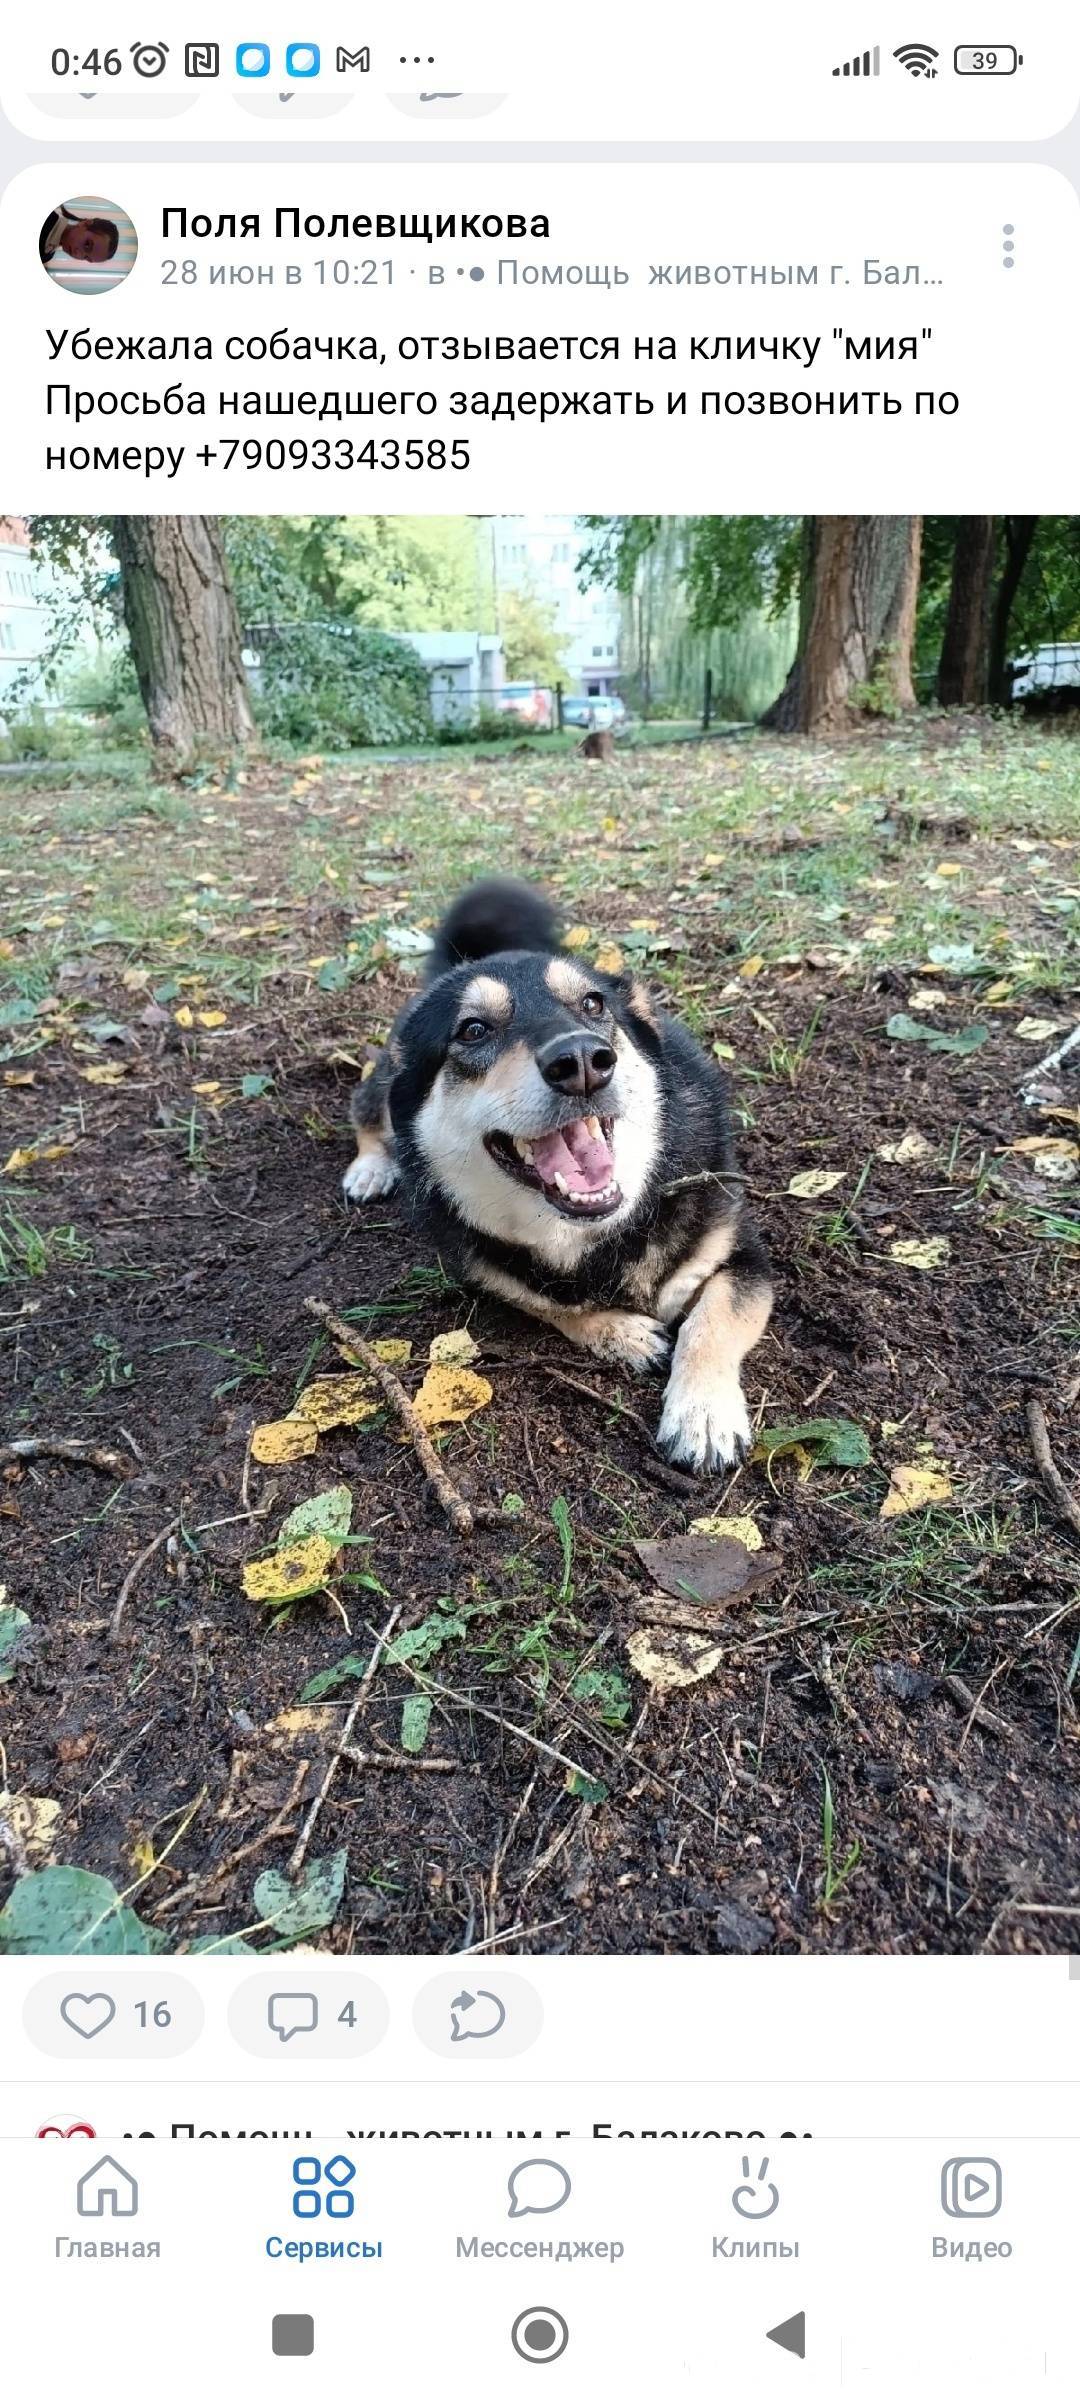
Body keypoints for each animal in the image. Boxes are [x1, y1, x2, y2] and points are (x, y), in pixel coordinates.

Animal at [340, 883, 772, 1468]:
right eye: (473, 1029)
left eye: (592, 1004)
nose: (583, 1060)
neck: (586, 1234)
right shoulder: (484, 1271)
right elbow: (551, 1305)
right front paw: (622, 1334)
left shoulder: (742, 1257)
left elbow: (713, 1321)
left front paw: (702, 1415)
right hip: (385, 1079)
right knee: (367, 1107)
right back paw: (369, 1167)